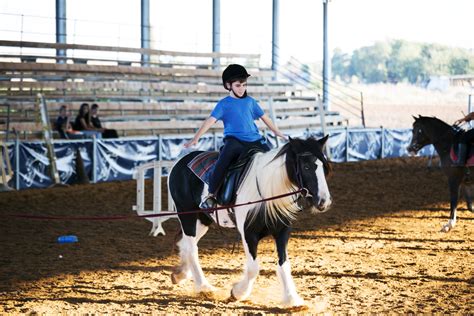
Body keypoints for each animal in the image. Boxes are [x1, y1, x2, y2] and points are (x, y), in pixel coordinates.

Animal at [168, 136, 332, 306]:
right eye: (306, 167)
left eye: (325, 167)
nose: (323, 201)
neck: (268, 191)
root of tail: (182, 161)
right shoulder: (249, 234)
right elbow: (253, 268)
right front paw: (237, 293)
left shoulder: (282, 231)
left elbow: (284, 264)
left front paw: (292, 299)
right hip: (187, 215)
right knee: (192, 248)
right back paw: (204, 287)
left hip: (203, 220)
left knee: (186, 244)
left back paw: (181, 274)